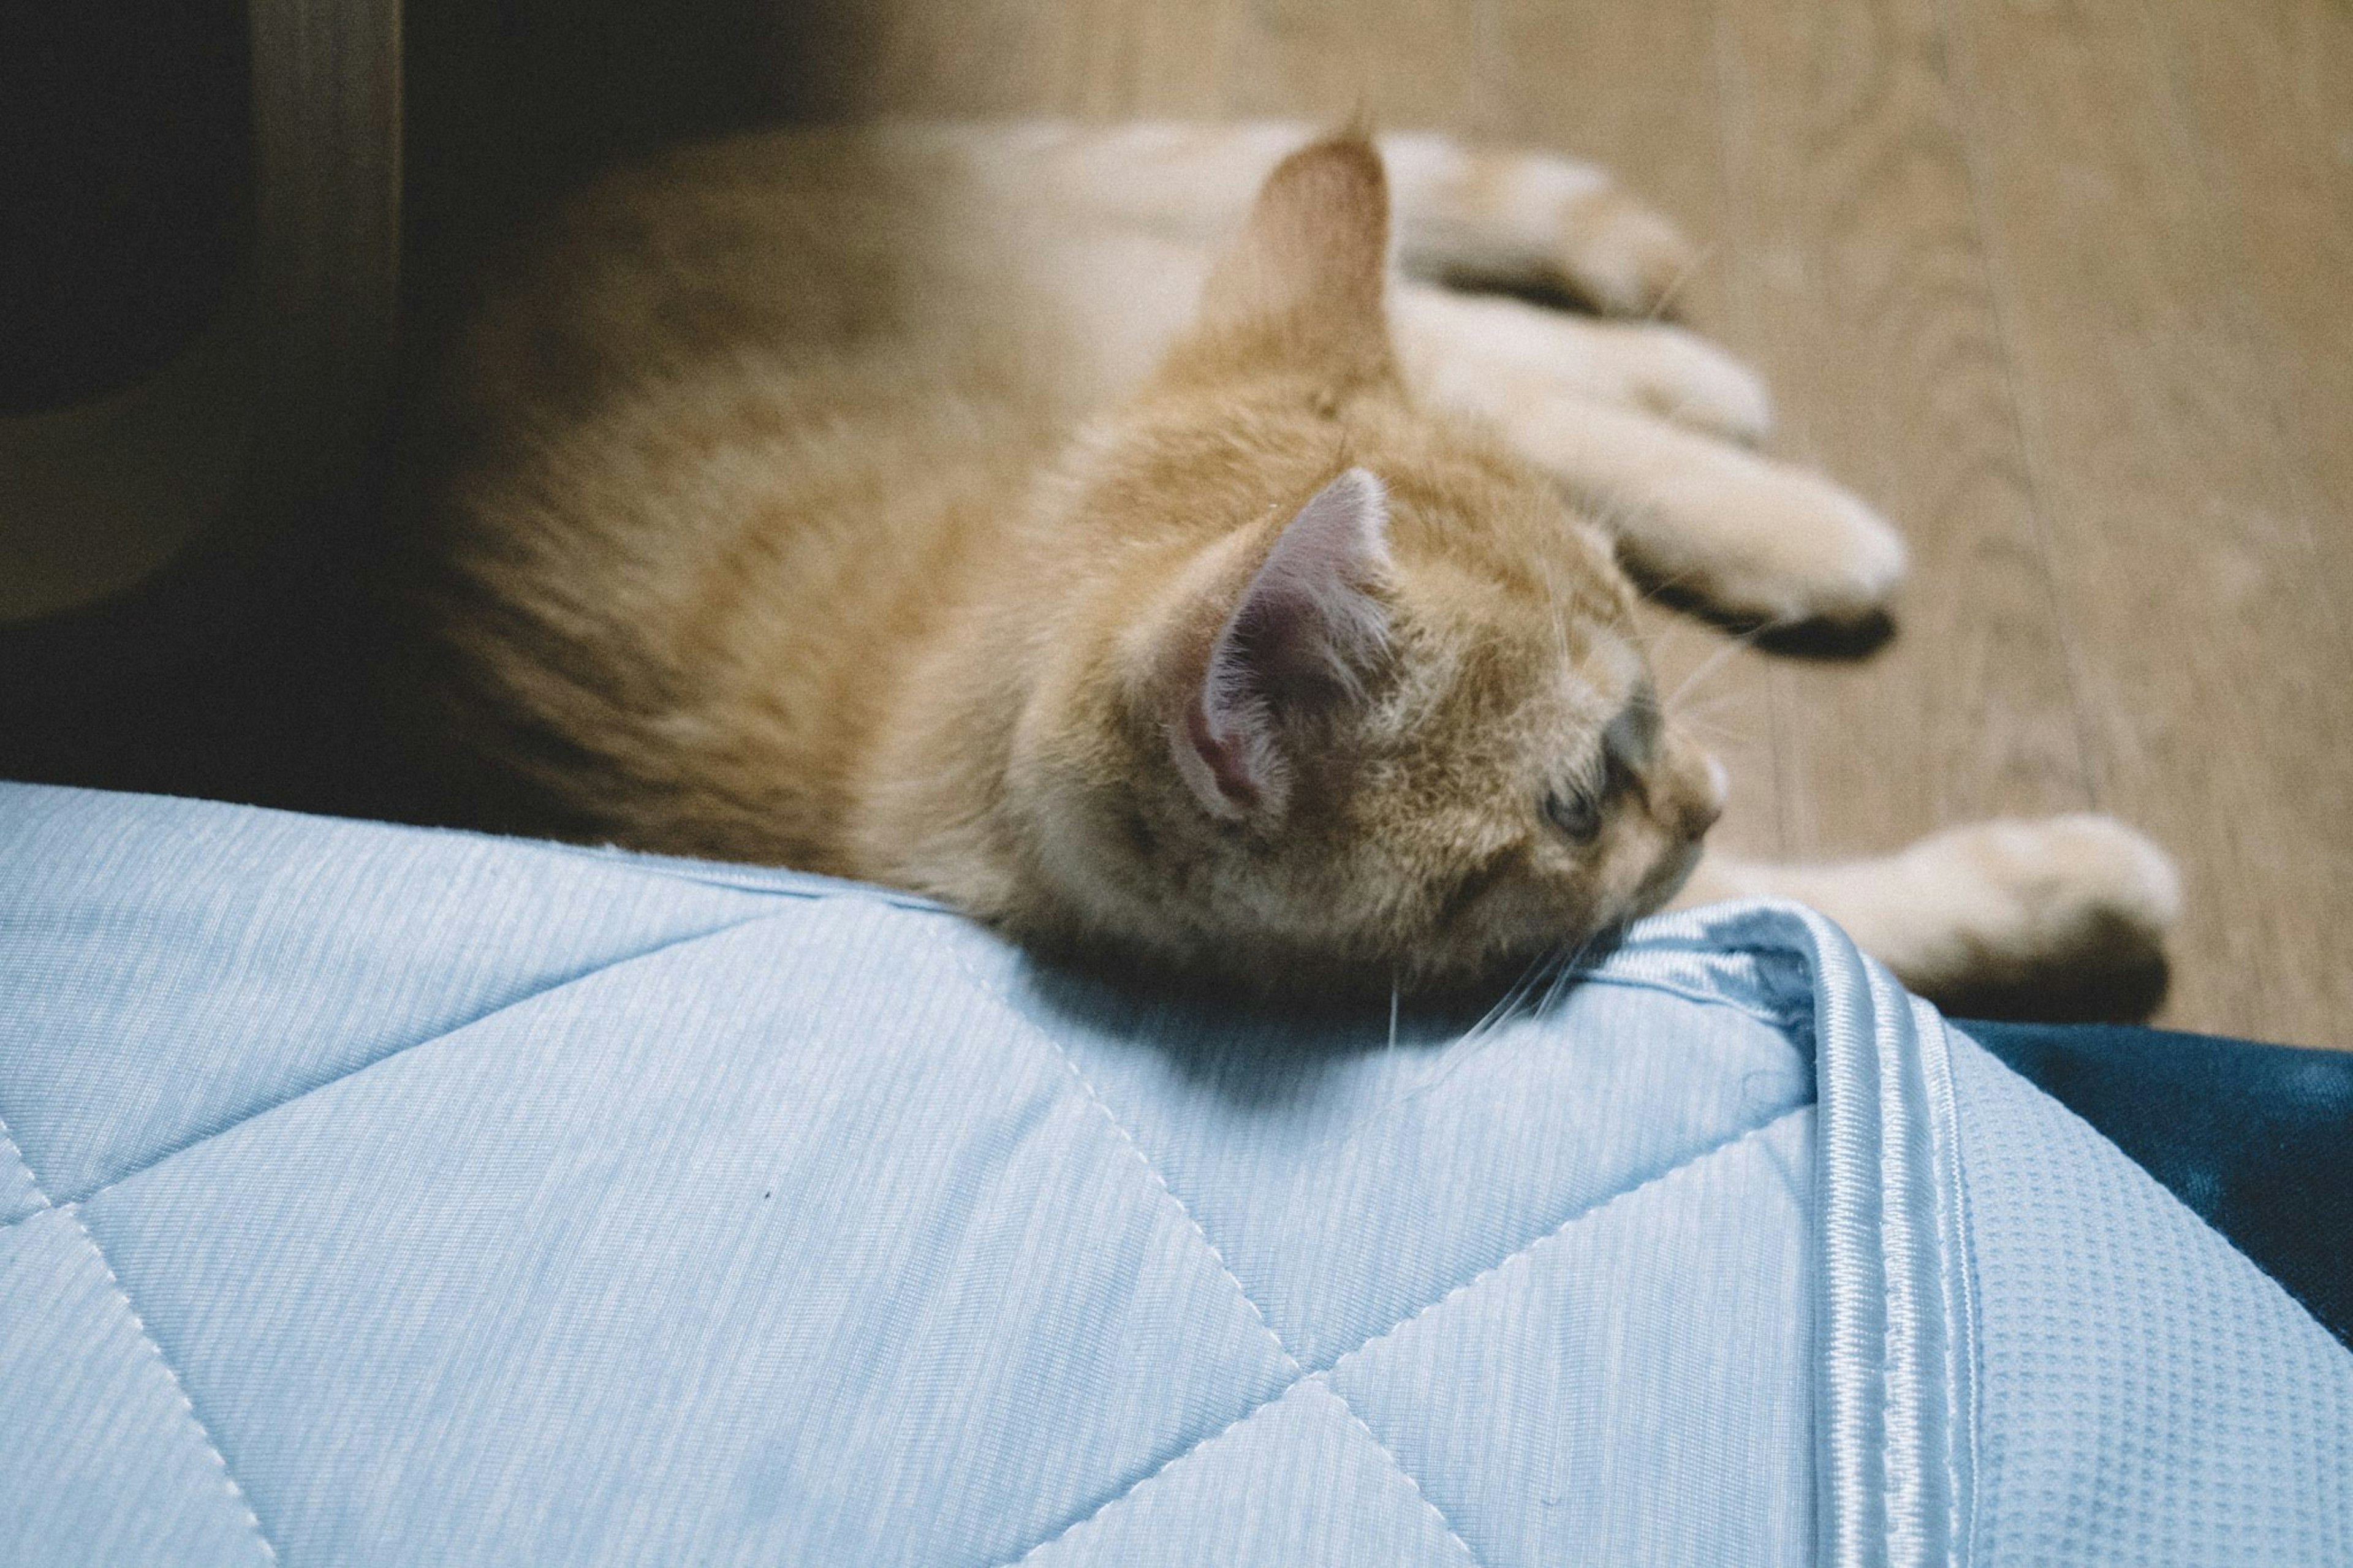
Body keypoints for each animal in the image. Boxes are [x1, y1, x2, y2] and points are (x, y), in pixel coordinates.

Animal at [409, 119, 2183, 1002]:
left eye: (1649, 701)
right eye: (1576, 802)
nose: (1709, 790)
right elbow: (1805, 905)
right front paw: (2045, 895)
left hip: (1155, 304)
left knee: (1463, 343)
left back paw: (1722, 435)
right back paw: (1737, 444)